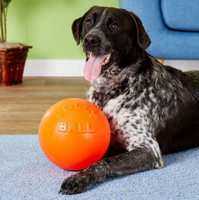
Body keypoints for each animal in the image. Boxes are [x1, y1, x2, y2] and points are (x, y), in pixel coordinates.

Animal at [59, 6, 199, 195]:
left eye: (114, 26)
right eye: (89, 22)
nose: (90, 40)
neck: (111, 89)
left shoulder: (148, 149)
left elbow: (103, 162)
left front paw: (79, 178)